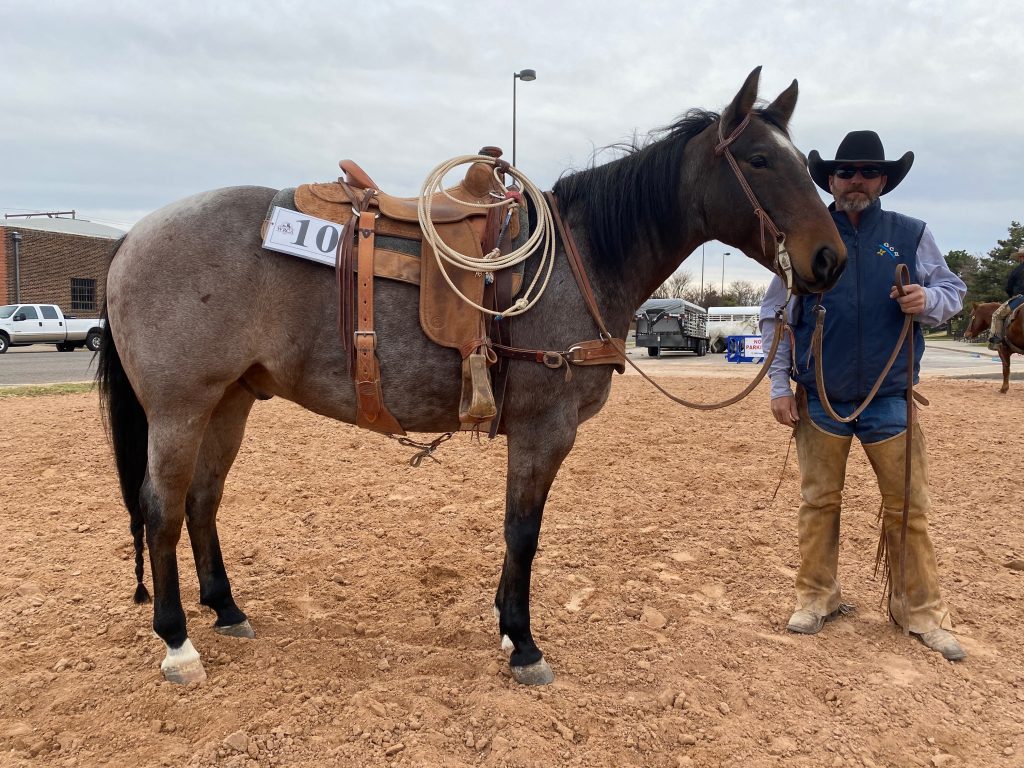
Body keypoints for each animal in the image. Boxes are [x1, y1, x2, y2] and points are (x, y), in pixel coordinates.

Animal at [96, 67, 846, 685]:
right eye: (758, 159)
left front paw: (508, 628)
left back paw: (226, 610)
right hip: (179, 409)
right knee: (162, 510)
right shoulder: (544, 431)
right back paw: (178, 642)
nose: (829, 258)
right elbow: (523, 531)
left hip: (229, 401)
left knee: (202, 502)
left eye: (803, 162)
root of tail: (133, 237)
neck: (581, 259)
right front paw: (524, 642)